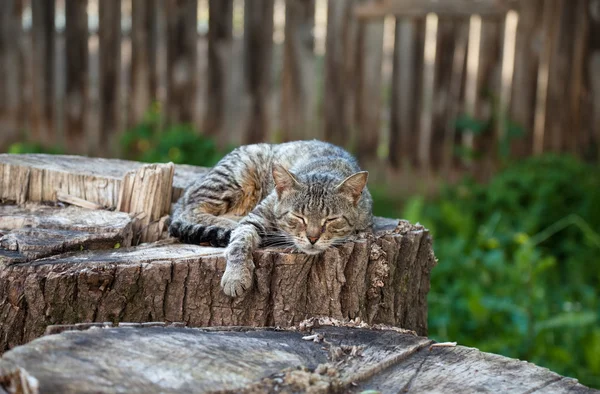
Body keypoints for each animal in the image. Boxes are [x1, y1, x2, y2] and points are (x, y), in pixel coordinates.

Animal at [169, 140, 372, 298]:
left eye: (330, 219)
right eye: (298, 216)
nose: (312, 238)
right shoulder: (255, 218)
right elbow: (239, 242)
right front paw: (236, 276)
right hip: (234, 178)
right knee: (190, 210)